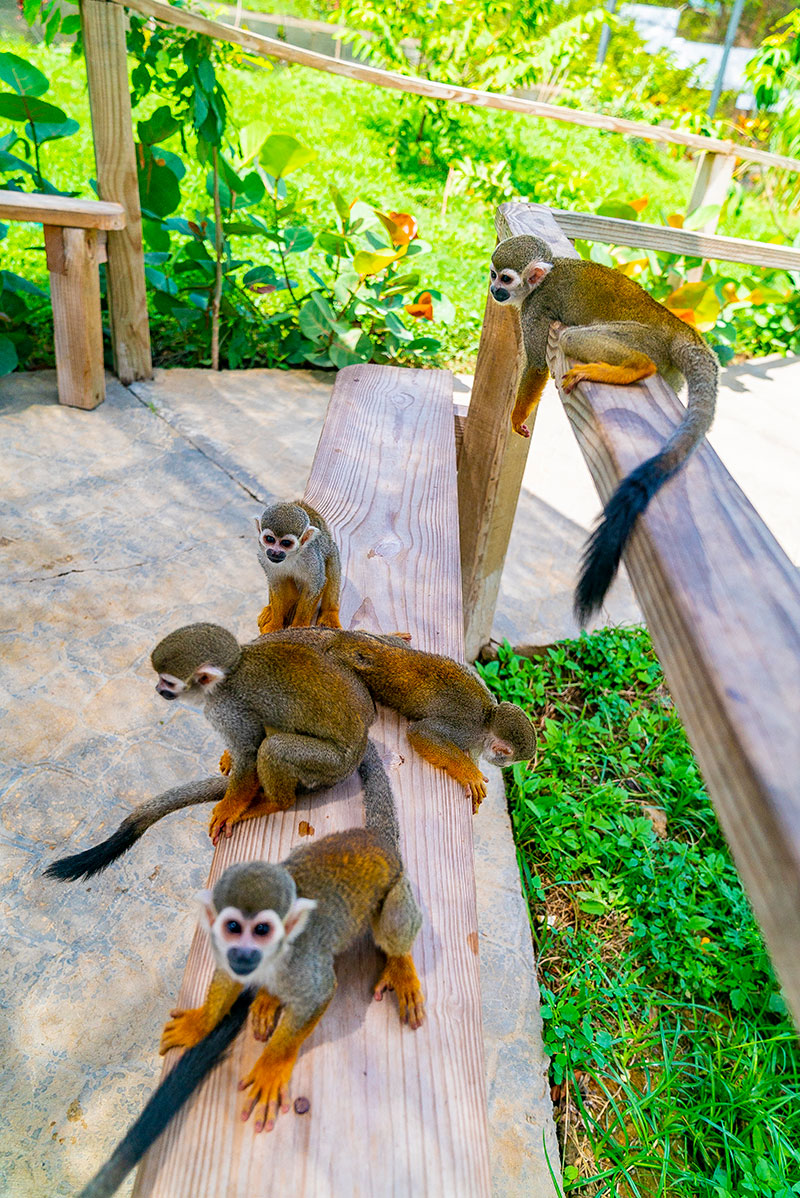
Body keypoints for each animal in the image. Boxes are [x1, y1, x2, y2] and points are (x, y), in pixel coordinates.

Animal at [151, 622, 376, 845]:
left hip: (332, 764)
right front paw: (229, 757)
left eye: (168, 682)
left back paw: (275, 803)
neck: (227, 677)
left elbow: (248, 755)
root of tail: (360, 747)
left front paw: (228, 809)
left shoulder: (225, 708)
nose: (157, 689)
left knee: (274, 747)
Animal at [159, 739, 425, 1134]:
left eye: (262, 931)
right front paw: (201, 1023)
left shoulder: (303, 963)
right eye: (231, 928)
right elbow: (226, 980)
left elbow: (317, 995)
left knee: (393, 925)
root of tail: (376, 839)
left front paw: (271, 1068)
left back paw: (401, 965)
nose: (244, 954)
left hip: (396, 884)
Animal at [254, 500, 342, 635]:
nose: (275, 552)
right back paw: (273, 607)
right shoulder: (264, 556)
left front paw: (299, 626)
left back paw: (330, 613)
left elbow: (315, 585)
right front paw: (275, 624)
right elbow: (277, 583)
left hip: (330, 550)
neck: (290, 556)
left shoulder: (312, 557)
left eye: (286, 543)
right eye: (269, 539)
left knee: (332, 562)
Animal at [254, 628, 536, 812]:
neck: (489, 718)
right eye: (507, 758)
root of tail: (345, 639)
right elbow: (421, 732)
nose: (501, 765)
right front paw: (469, 773)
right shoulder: (468, 729)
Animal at [489, 233, 718, 622]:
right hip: (667, 364)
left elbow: (536, 365)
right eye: (493, 274)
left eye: (506, 279)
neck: (542, 281)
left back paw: (635, 368)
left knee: (572, 339)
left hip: (641, 338)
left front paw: (517, 416)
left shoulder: (535, 310)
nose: (493, 290)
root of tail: (675, 324)